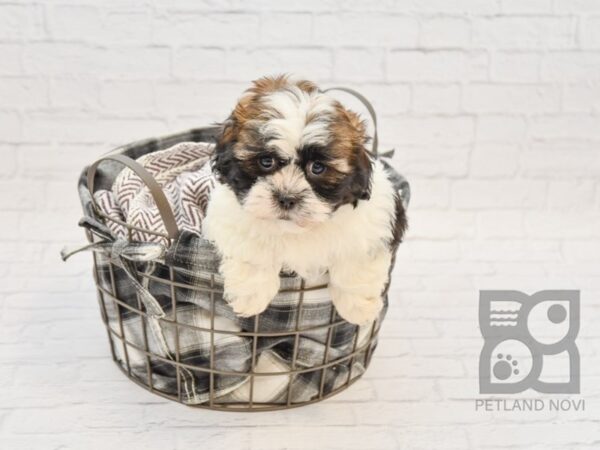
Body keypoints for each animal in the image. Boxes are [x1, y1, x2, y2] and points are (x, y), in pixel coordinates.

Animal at [203, 75, 408, 326]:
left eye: (317, 168)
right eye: (266, 161)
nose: (286, 198)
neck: (299, 230)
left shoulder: (377, 219)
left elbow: (357, 259)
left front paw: (357, 307)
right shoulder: (229, 216)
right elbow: (251, 247)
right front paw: (250, 295)